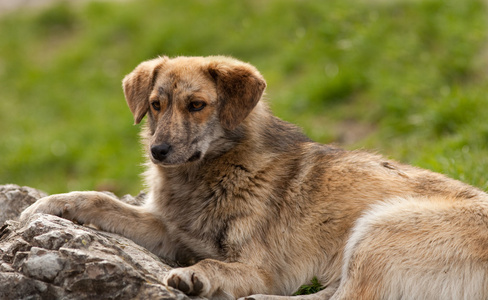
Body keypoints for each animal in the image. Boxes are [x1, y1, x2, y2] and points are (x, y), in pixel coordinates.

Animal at [21, 55, 488, 298]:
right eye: (155, 104)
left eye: (196, 105)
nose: (158, 152)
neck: (212, 172)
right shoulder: (170, 233)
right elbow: (101, 200)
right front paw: (49, 204)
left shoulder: (259, 267)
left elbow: (220, 266)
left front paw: (198, 276)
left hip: (379, 229)